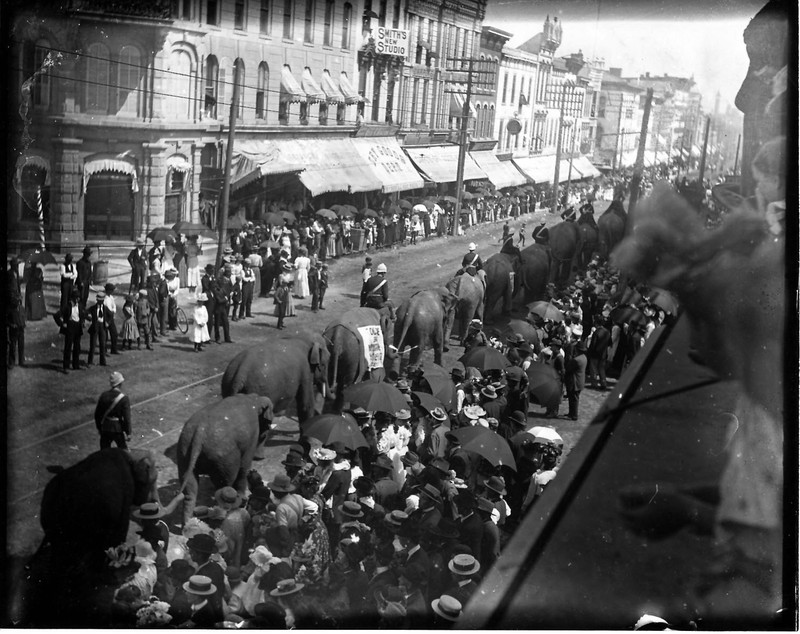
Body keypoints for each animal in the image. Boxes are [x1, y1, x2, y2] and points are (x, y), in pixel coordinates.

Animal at [178, 392, 276, 520]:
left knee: (189, 491)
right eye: (268, 425)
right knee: (225, 483)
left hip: (184, 451)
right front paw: (243, 497)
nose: (261, 458)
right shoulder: (252, 436)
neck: (252, 398)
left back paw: (187, 523)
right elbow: (245, 464)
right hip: (224, 457)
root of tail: (199, 432)